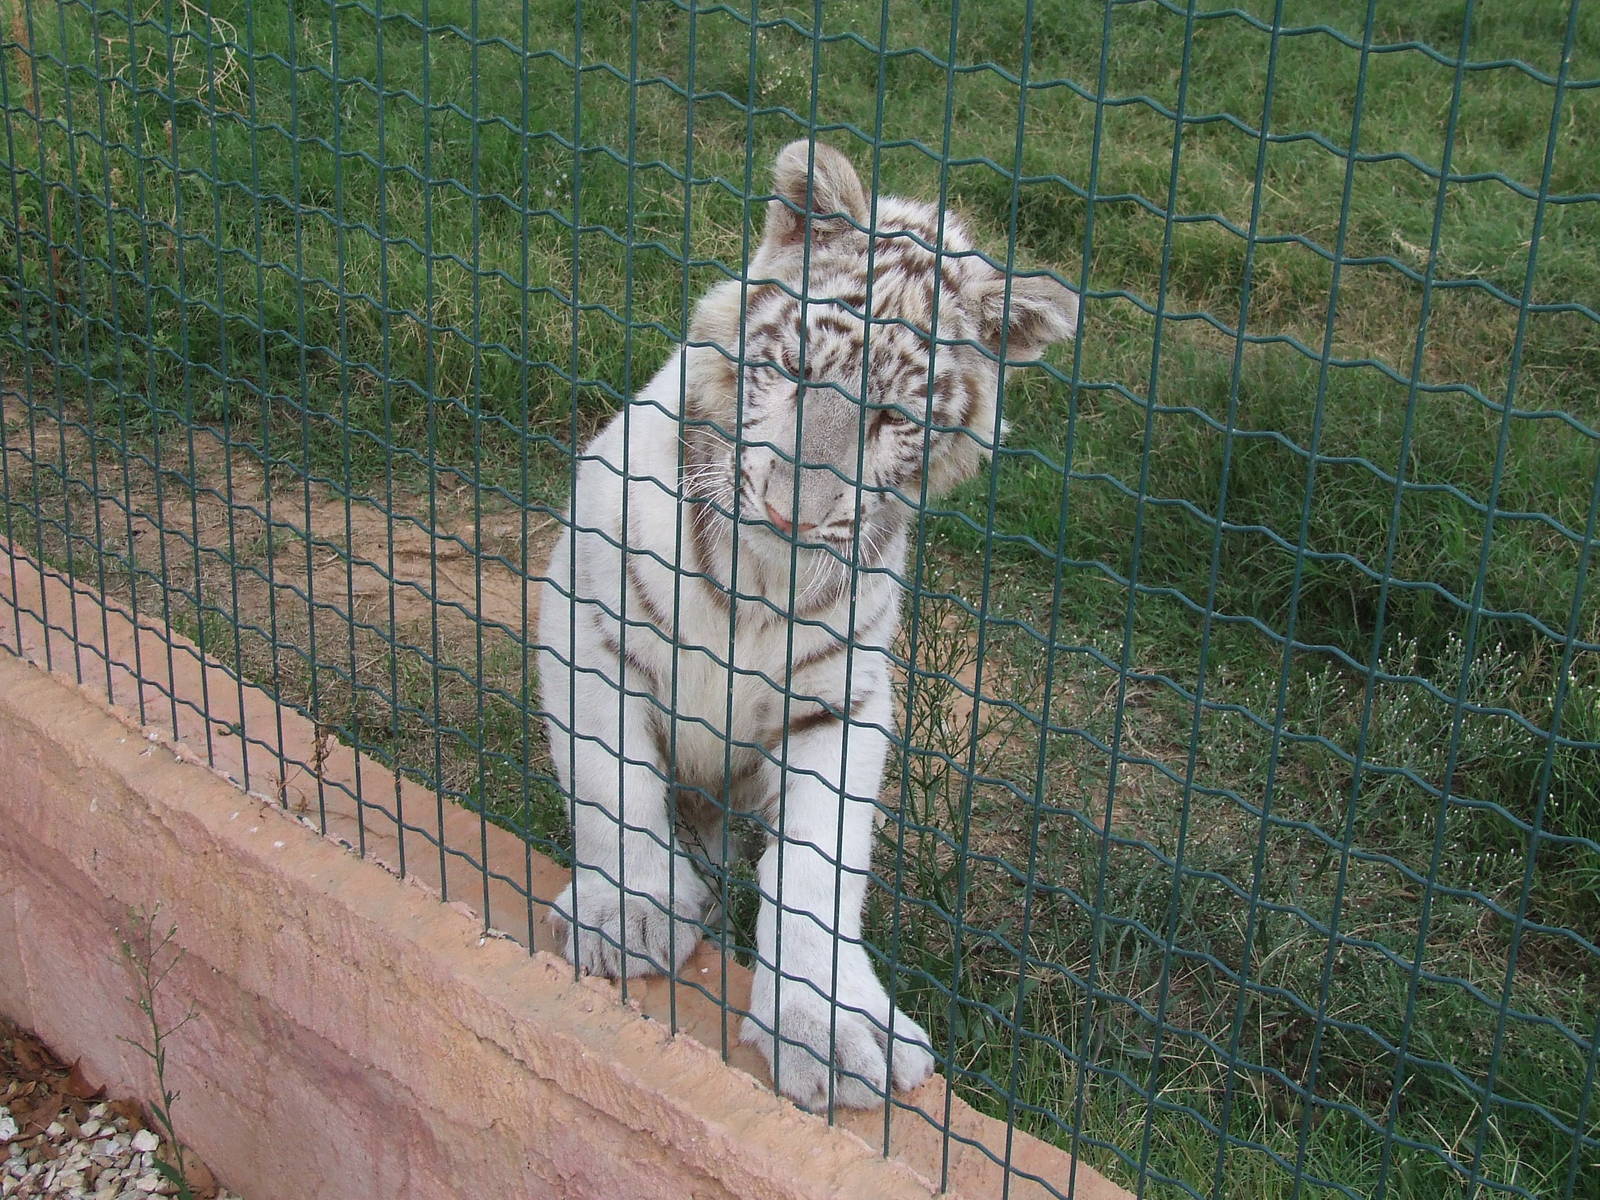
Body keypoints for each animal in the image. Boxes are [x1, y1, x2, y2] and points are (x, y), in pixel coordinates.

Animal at [537, 140, 1077, 1111]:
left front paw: (829, 1029)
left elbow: (819, 872)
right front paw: (627, 913)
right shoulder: (586, 622)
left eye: (893, 418)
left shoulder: (840, 705)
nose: (795, 513)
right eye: (790, 372)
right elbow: (612, 785)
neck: (762, 579)